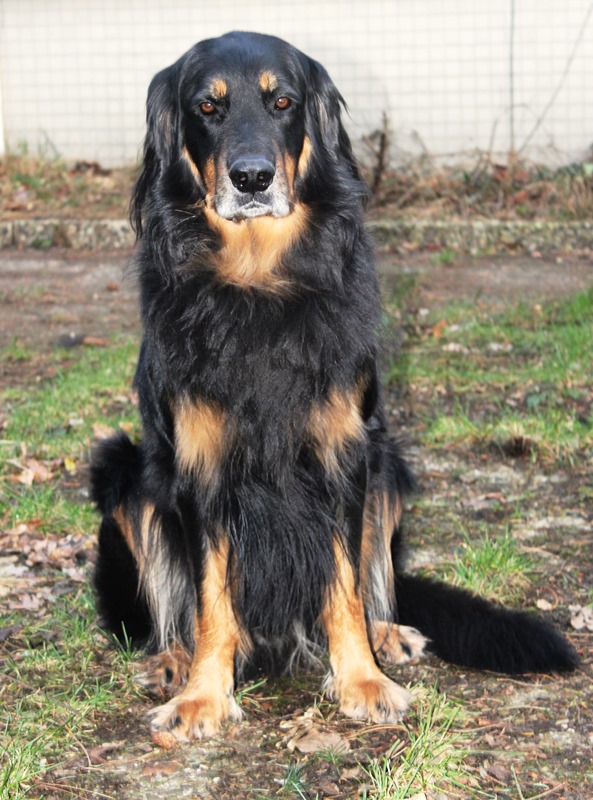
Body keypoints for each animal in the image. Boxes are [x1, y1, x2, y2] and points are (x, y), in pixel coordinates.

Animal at [91, 31, 577, 742]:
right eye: (206, 107)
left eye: (283, 102)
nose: (252, 178)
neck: (259, 285)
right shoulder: (201, 466)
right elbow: (211, 597)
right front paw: (205, 694)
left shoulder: (345, 452)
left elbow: (345, 583)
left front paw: (362, 679)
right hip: (124, 468)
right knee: (169, 599)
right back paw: (171, 657)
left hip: (390, 462)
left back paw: (387, 633)